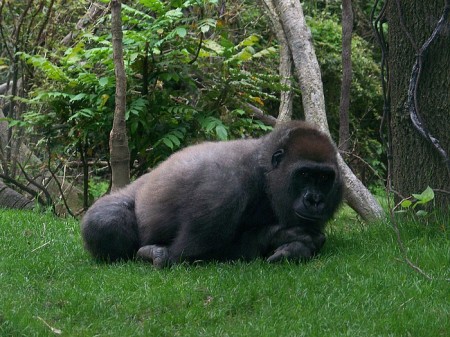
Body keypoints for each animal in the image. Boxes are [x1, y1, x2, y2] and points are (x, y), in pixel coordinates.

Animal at [81, 119, 342, 266]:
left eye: (323, 178)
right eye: (304, 174)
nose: (315, 200)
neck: (263, 172)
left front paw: (298, 247)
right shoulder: (223, 190)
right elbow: (188, 253)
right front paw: (282, 236)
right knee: (106, 222)